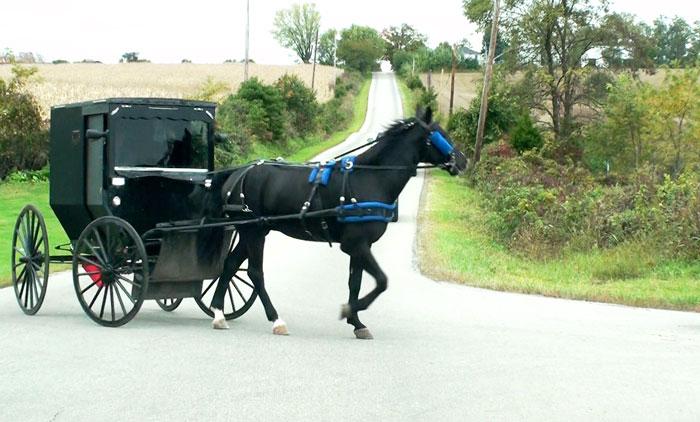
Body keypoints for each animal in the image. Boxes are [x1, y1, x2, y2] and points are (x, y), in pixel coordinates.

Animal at [199, 107, 466, 339]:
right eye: (440, 135)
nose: (463, 161)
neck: (369, 177)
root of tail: (237, 174)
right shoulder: (355, 244)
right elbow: (381, 281)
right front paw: (350, 310)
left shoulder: (360, 246)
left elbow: (355, 283)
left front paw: (357, 322)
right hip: (253, 231)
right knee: (255, 272)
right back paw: (276, 319)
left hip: (253, 230)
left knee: (230, 265)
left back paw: (219, 313)